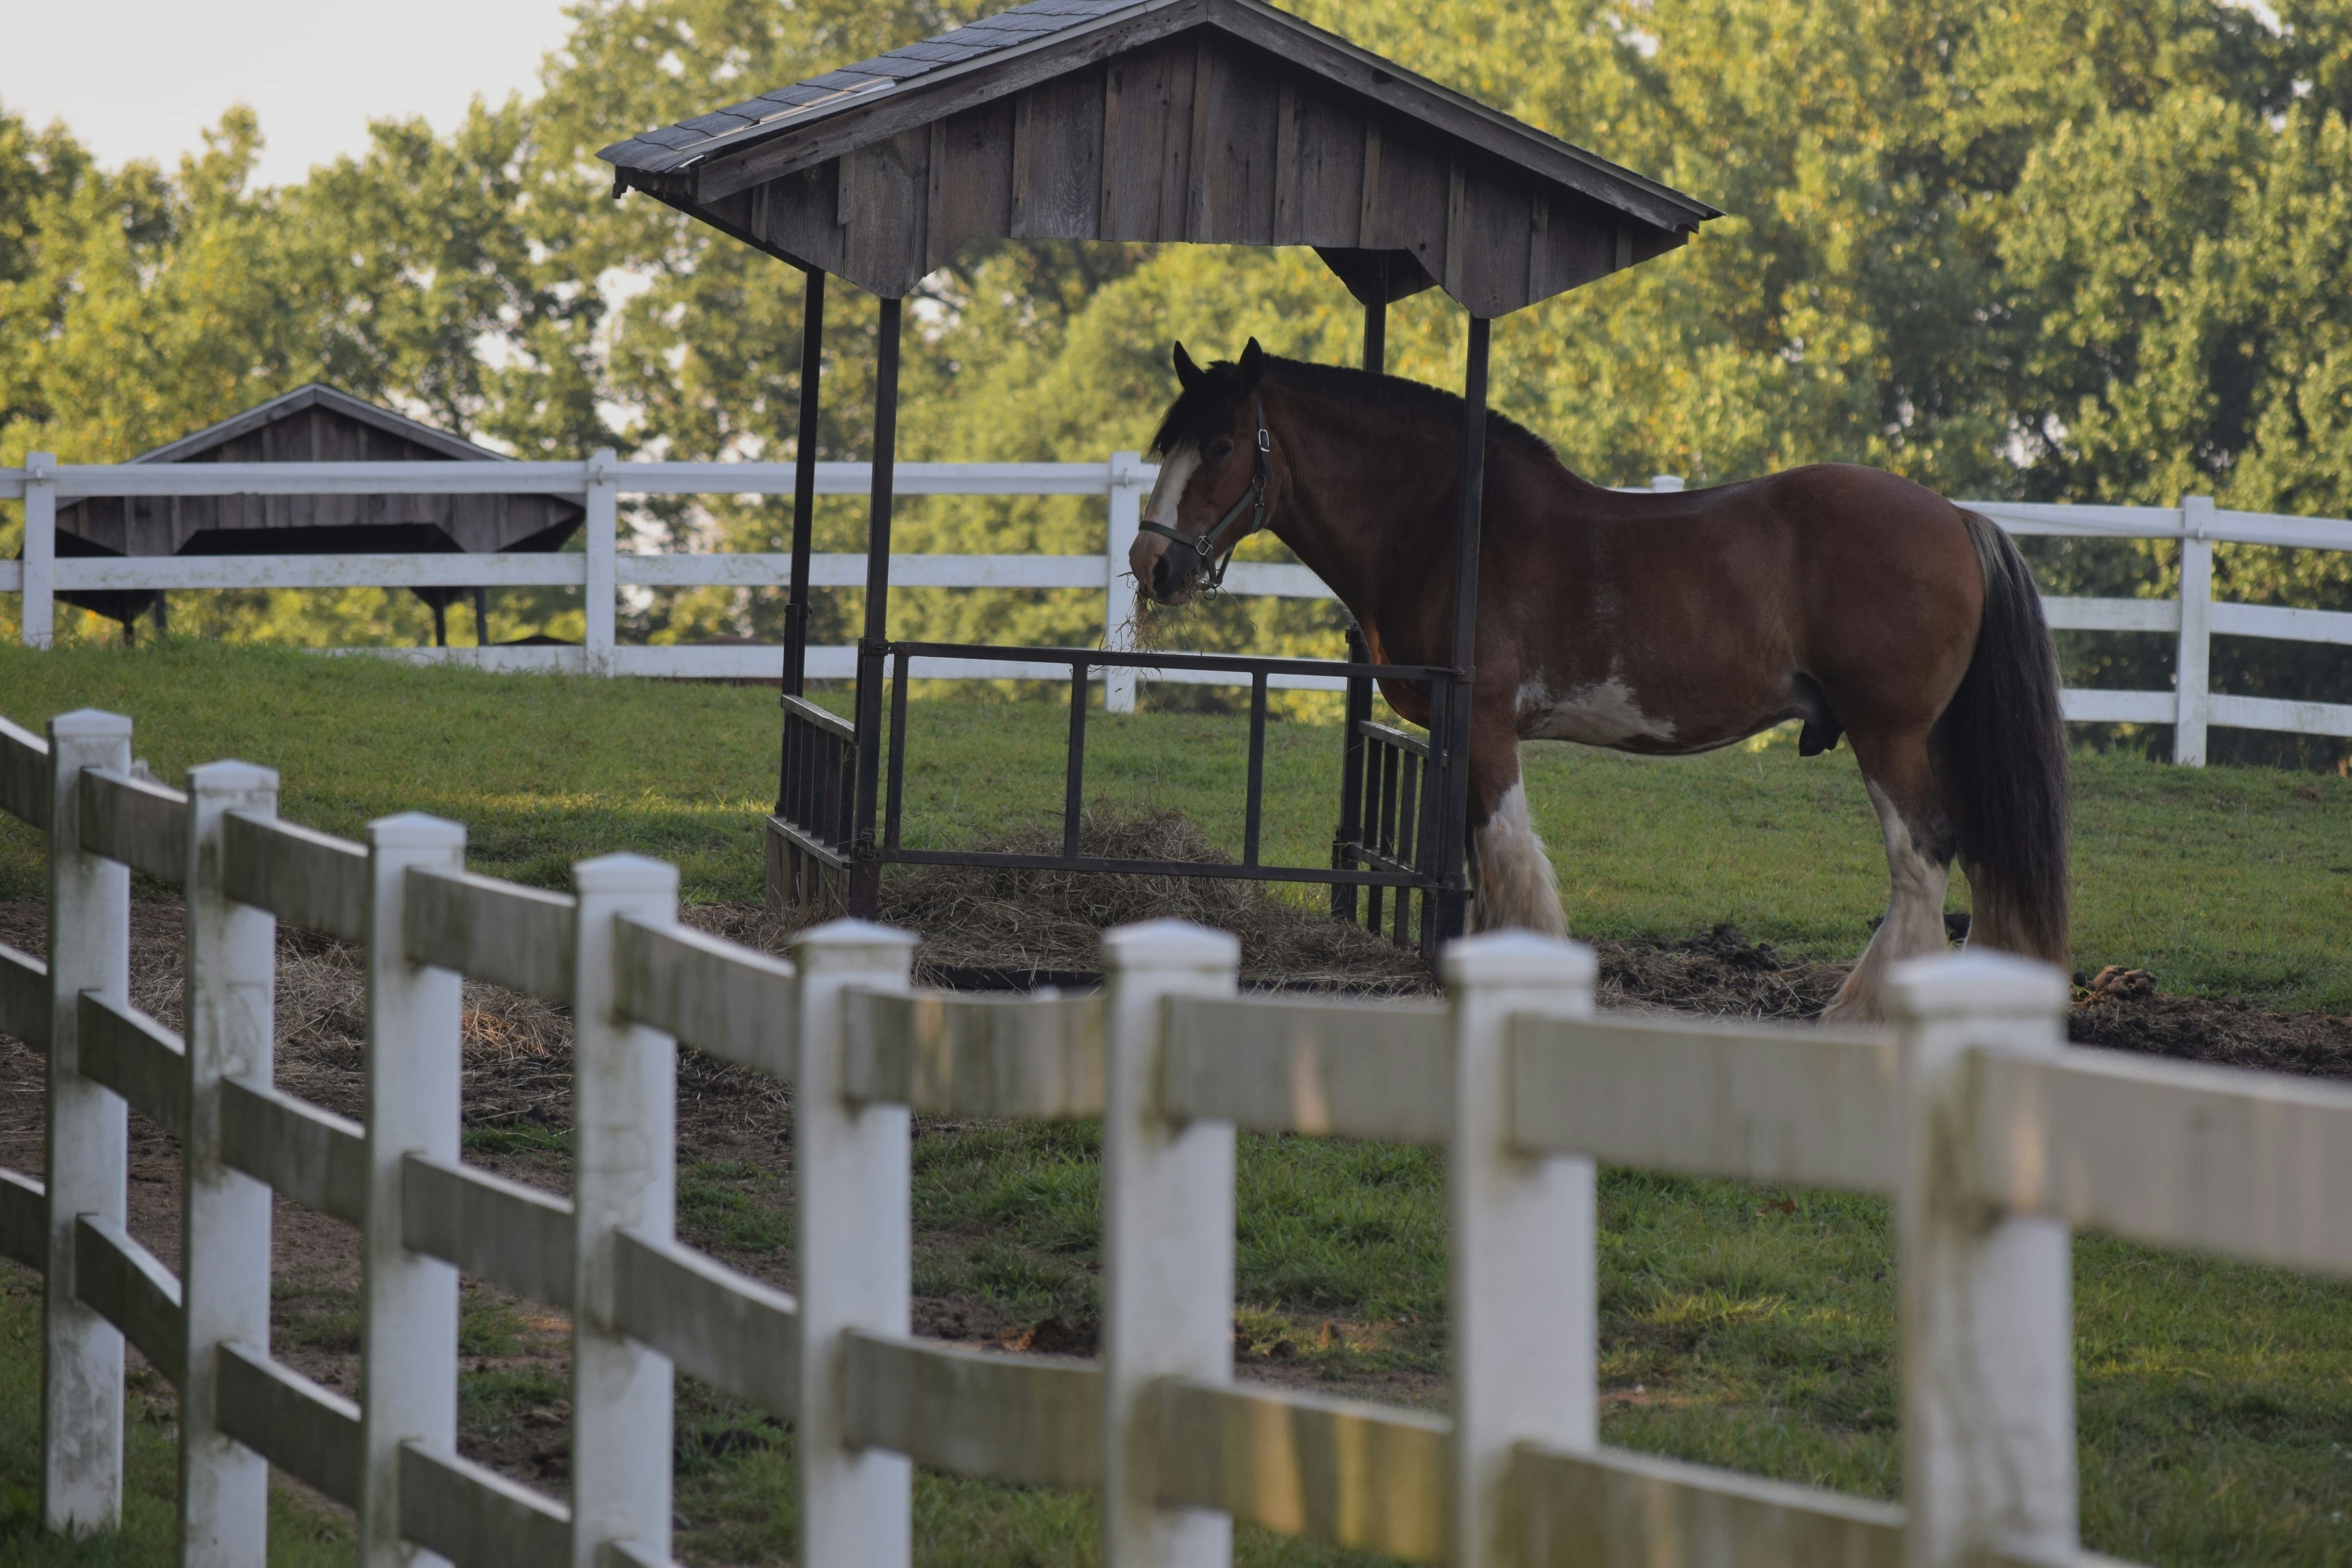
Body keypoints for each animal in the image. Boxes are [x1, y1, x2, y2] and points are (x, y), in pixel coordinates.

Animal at [1129, 340, 2070, 1030]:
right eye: (1167, 442)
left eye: (1220, 445)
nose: (1150, 564)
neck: (1448, 523)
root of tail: (1959, 517)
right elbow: (1477, 858)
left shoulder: (1485, 723)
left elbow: (1507, 856)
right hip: (1939, 735)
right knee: (1979, 855)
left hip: (1889, 734)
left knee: (1923, 855)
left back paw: (1860, 1010)